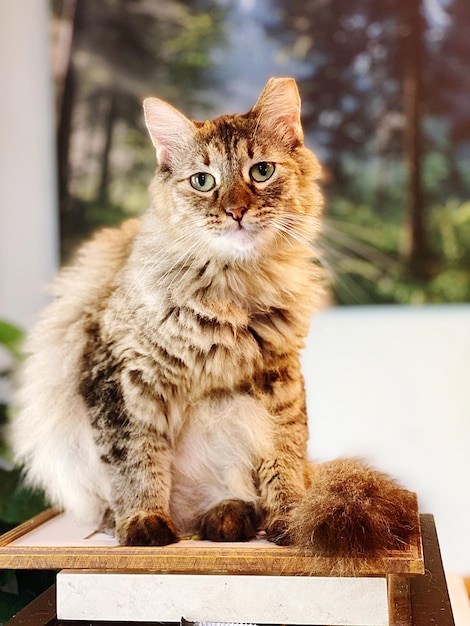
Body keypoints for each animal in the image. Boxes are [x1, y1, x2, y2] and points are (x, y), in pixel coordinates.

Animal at [10, 79, 414, 556]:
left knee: (242, 494)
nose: (236, 211)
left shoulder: (278, 380)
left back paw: (228, 519)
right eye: (203, 181)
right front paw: (144, 525)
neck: (228, 290)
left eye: (261, 172)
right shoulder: (121, 379)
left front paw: (290, 521)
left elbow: (284, 458)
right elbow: (136, 463)